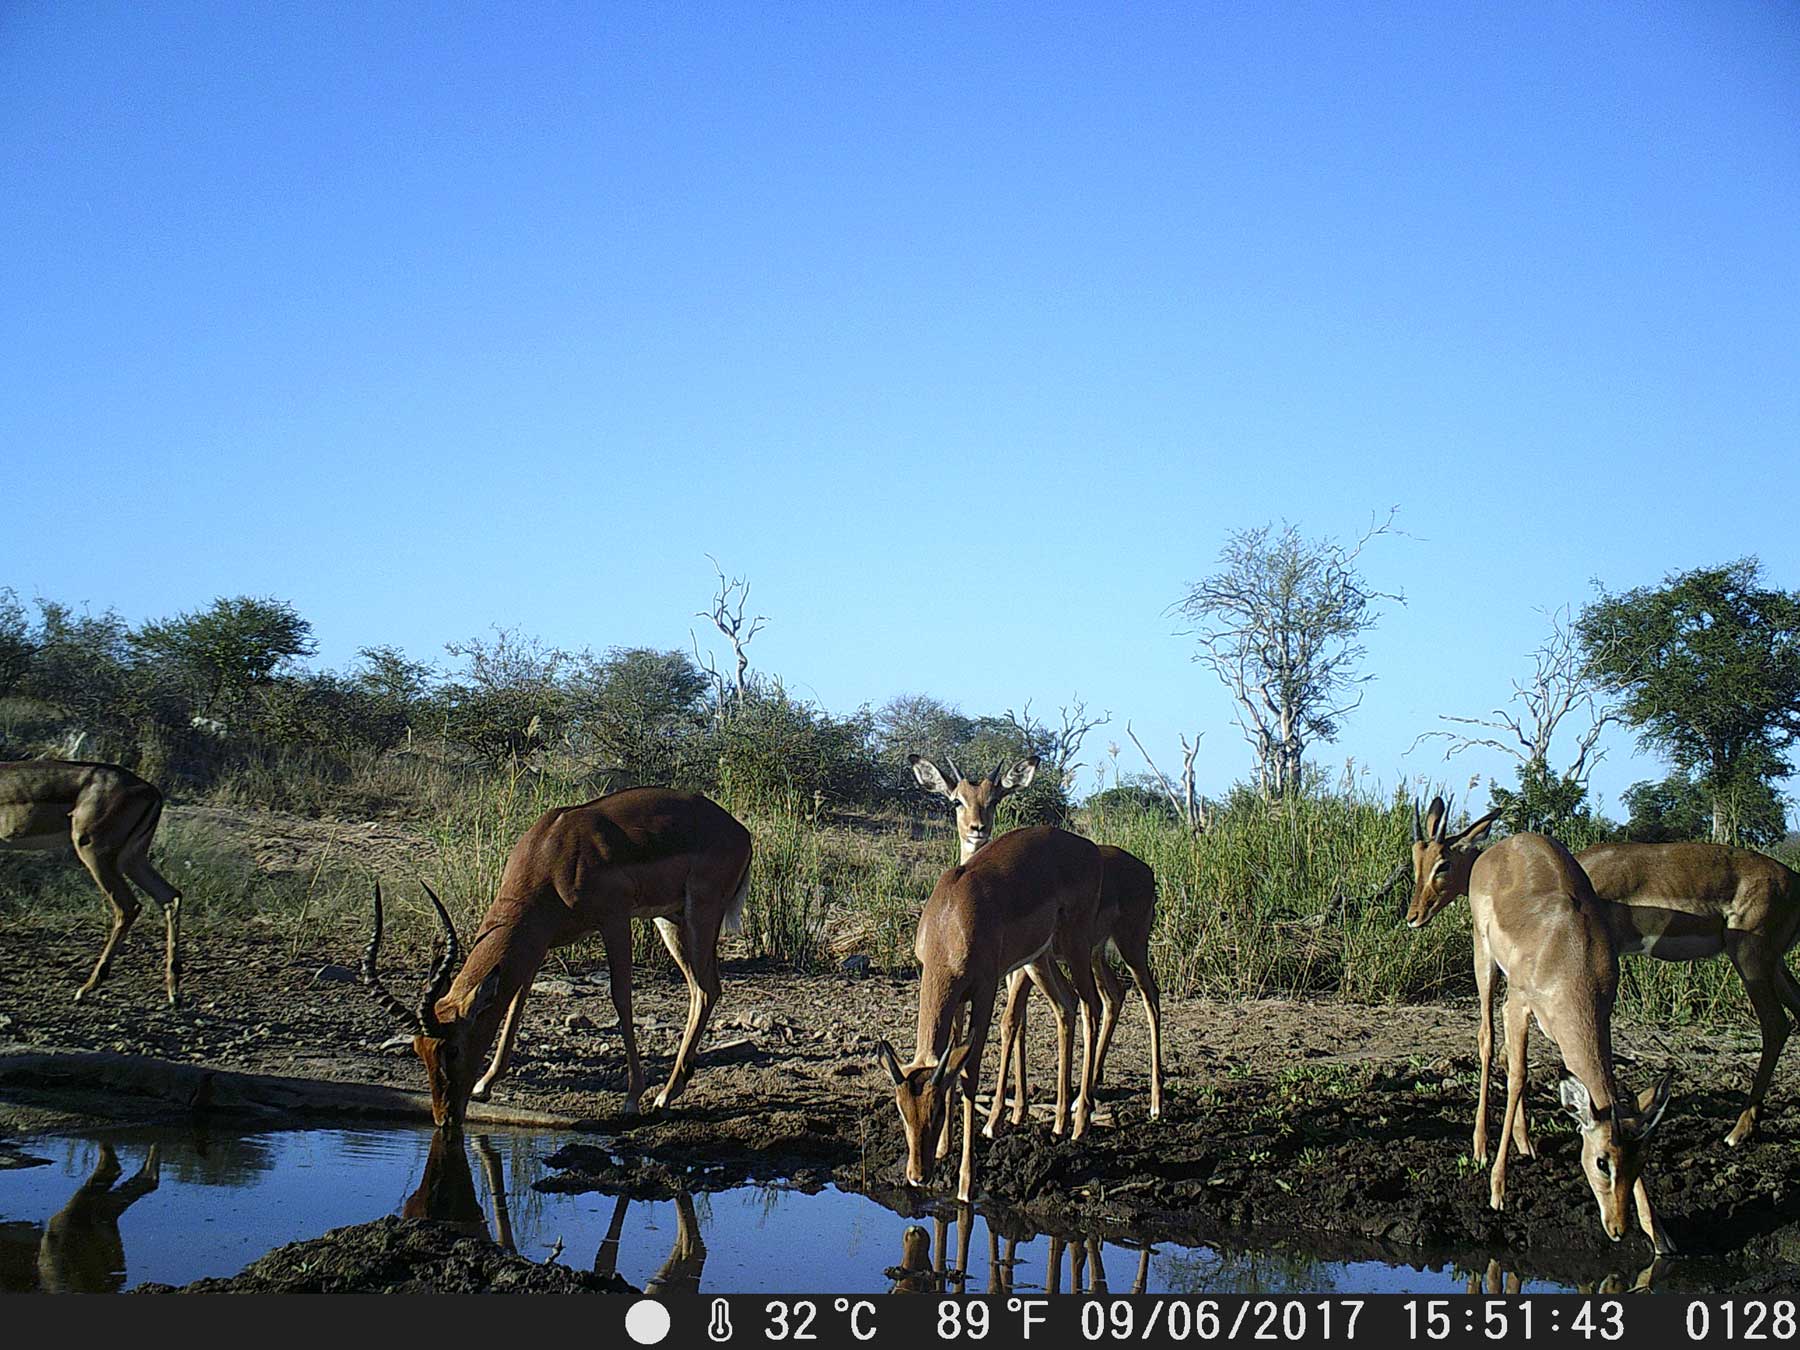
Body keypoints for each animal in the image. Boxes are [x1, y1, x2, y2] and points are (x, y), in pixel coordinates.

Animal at [0, 759, 182, 1005]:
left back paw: (86, 988)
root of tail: (152, 791)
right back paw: (173, 990)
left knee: (129, 906)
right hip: (132, 859)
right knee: (170, 897)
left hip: (93, 851)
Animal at [361, 787, 753, 1128]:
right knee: (702, 990)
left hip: (698, 915)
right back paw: (672, 1090)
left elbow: (621, 999)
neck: (551, 853)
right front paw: (486, 1084)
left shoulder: (614, 920)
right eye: (419, 1050)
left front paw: (631, 1099)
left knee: (706, 989)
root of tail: (739, 831)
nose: (444, 1118)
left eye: (453, 1049)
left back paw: (664, 1096)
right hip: (670, 920)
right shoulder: (539, 942)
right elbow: (516, 1001)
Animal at [876, 824, 1105, 1204]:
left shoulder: (984, 991)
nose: (918, 1175)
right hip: (1040, 958)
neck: (951, 919)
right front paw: (944, 1150)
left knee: (1092, 1006)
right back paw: (1058, 1122)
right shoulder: (956, 997)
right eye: (901, 1109)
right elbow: (950, 1064)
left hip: (1075, 948)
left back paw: (1080, 1124)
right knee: (1066, 1005)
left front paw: (966, 1184)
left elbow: (969, 1072)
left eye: (935, 1111)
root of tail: (1089, 849)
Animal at [1407, 798, 1676, 1252]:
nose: (1617, 1228)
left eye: (1641, 1159)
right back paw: (1481, 1147)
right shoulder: (1518, 1006)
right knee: (1487, 1041)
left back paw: (1524, 1141)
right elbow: (1518, 1077)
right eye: (1601, 1162)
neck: (1571, 957)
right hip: (1485, 962)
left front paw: (1659, 1233)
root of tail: (1503, 846)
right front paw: (1497, 1189)